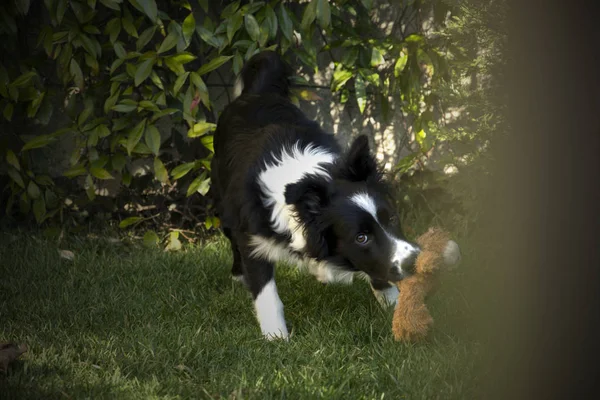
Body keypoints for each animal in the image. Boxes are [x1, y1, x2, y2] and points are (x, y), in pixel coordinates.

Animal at [213, 50, 420, 340]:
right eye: (361, 237)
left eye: (392, 218)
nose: (415, 261)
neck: (308, 177)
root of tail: (255, 93)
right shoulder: (252, 236)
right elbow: (266, 292)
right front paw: (277, 338)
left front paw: (394, 308)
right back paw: (238, 276)